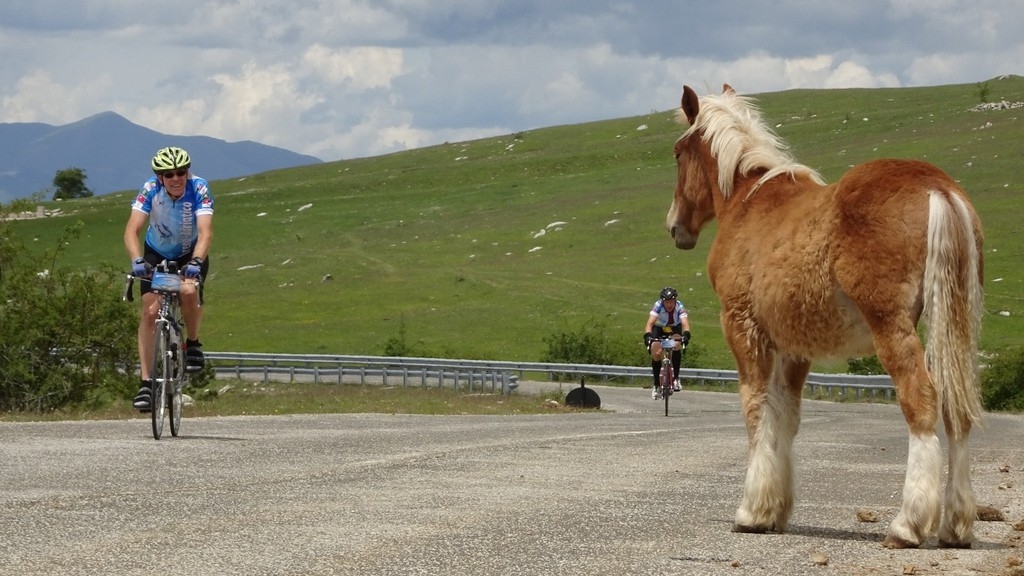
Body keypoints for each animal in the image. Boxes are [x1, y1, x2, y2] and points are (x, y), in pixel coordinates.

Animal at [667, 81, 987, 545]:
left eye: (677, 153)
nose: (675, 227)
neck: (748, 202)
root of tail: (938, 189)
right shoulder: (794, 346)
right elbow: (785, 417)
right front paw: (775, 510)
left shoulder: (743, 327)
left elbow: (756, 410)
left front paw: (751, 511)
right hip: (955, 322)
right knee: (957, 407)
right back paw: (956, 524)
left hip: (891, 325)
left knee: (922, 399)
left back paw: (908, 523)